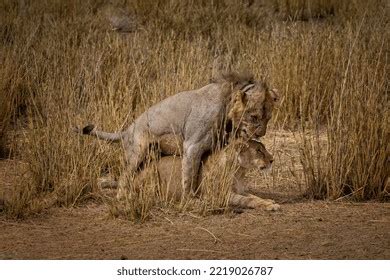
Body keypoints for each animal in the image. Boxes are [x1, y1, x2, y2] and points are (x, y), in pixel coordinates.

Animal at [80, 73, 280, 198]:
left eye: (268, 117)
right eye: (254, 117)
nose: (261, 133)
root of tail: (127, 130)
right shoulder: (192, 145)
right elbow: (188, 175)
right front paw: (189, 200)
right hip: (138, 152)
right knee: (124, 177)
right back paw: (122, 198)